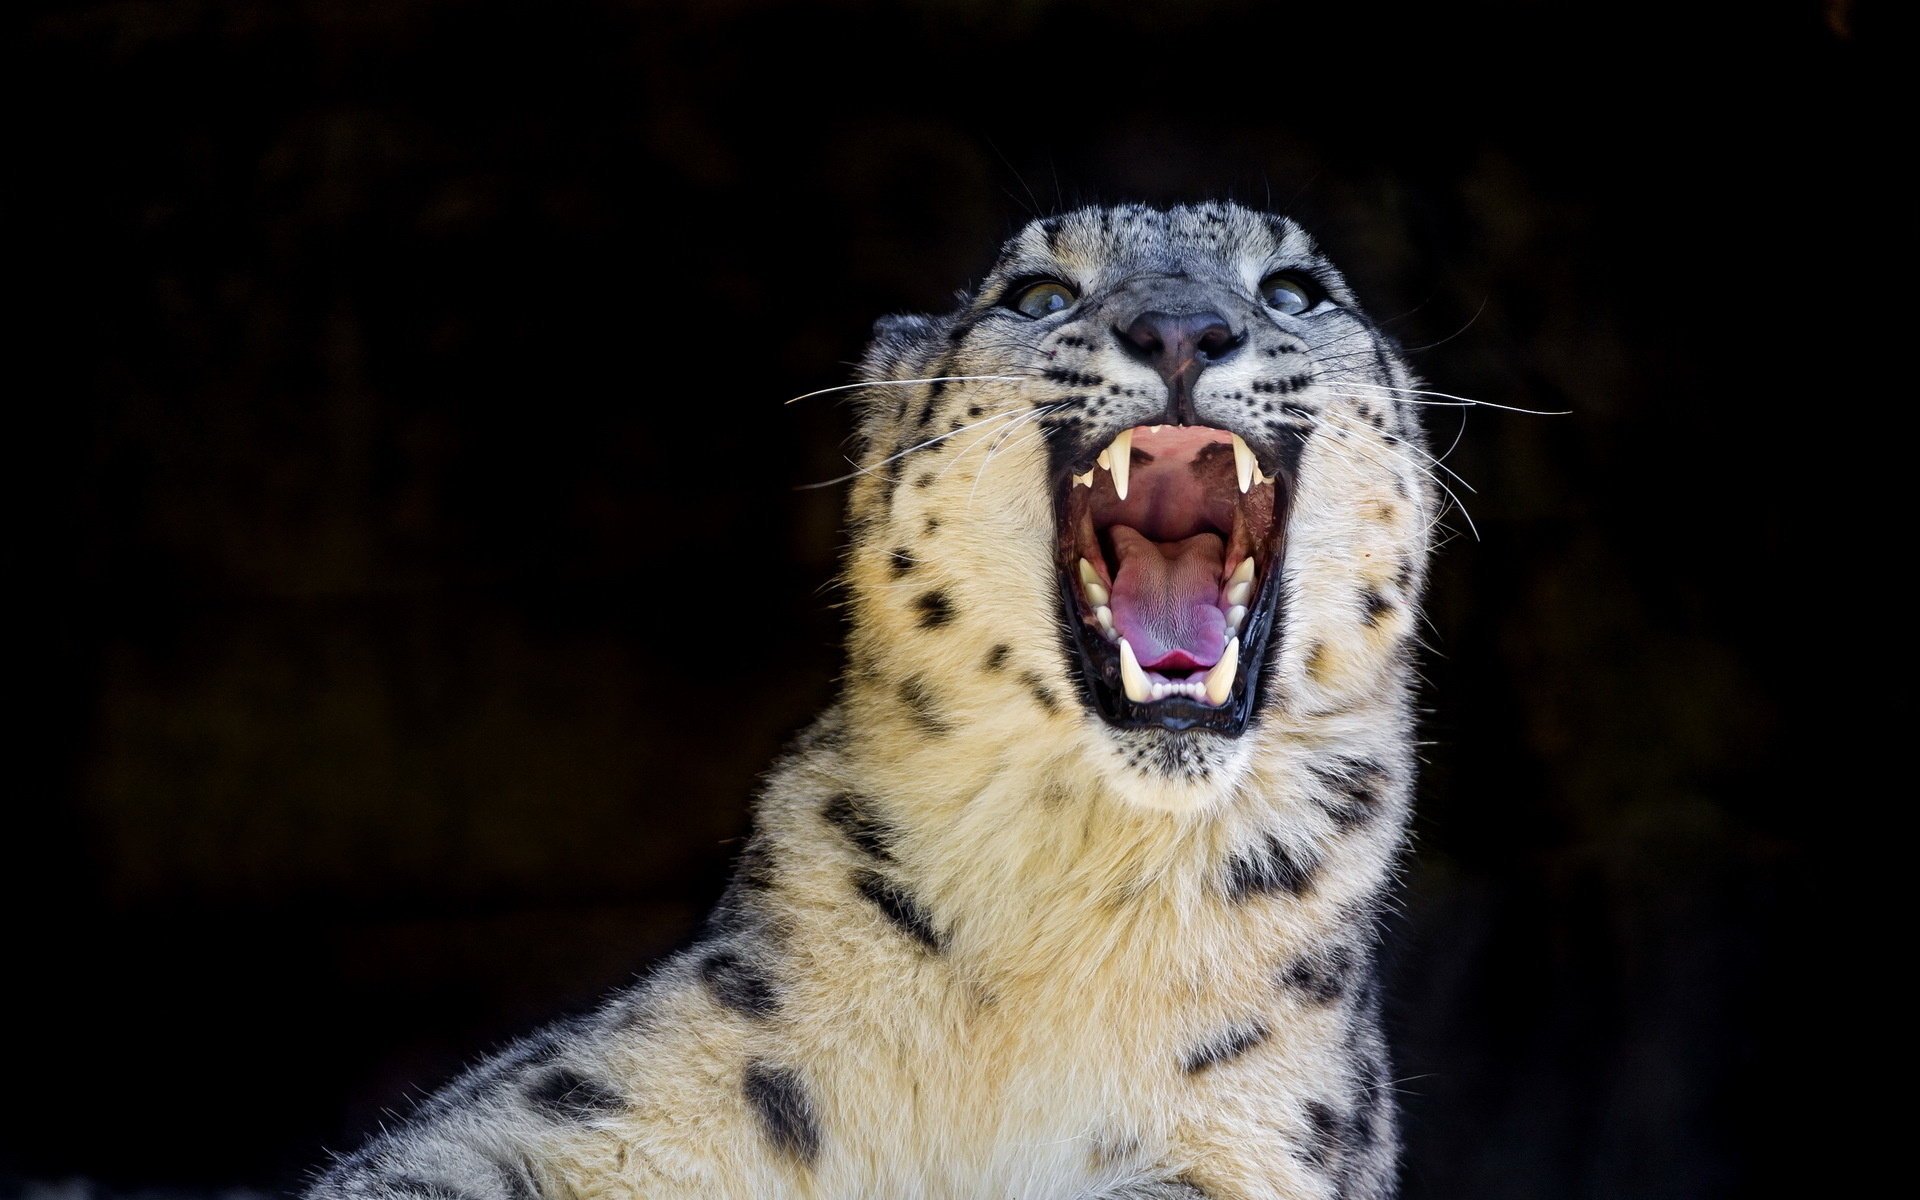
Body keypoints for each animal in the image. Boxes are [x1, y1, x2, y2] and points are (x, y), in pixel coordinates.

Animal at [307, 203, 1436, 1198]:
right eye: (1037, 291)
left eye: (1292, 288)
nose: (1183, 329)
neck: (1078, 884)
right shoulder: (576, 1101)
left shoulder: (1267, 1142)